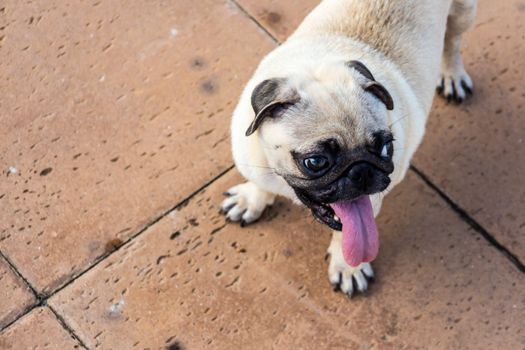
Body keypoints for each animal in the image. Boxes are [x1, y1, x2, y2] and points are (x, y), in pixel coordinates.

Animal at [220, 0, 474, 296]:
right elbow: (261, 184)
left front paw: (348, 267)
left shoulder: (371, 201)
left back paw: (452, 74)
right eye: (315, 162)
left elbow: (347, 235)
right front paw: (252, 198)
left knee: (452, 41)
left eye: (385, 147)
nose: (361, 170)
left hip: (463, 14)